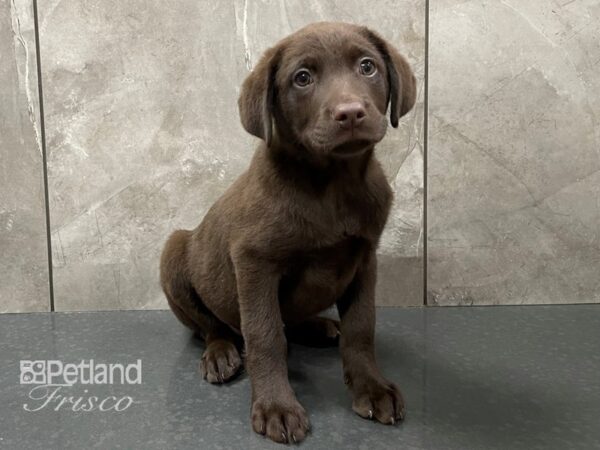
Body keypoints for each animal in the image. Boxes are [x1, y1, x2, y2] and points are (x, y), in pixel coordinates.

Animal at [159, 21, 414, 442]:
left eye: (367, 66)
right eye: (302, 77)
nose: (350, 113)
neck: (332, 184)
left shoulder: (364, 257)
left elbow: (361, 328)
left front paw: (372, 388)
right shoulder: (254, 262)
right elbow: (266, 335)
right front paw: (276, 406)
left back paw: (319, 326)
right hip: (174, 252)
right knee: (213, 326)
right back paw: (221, 353)